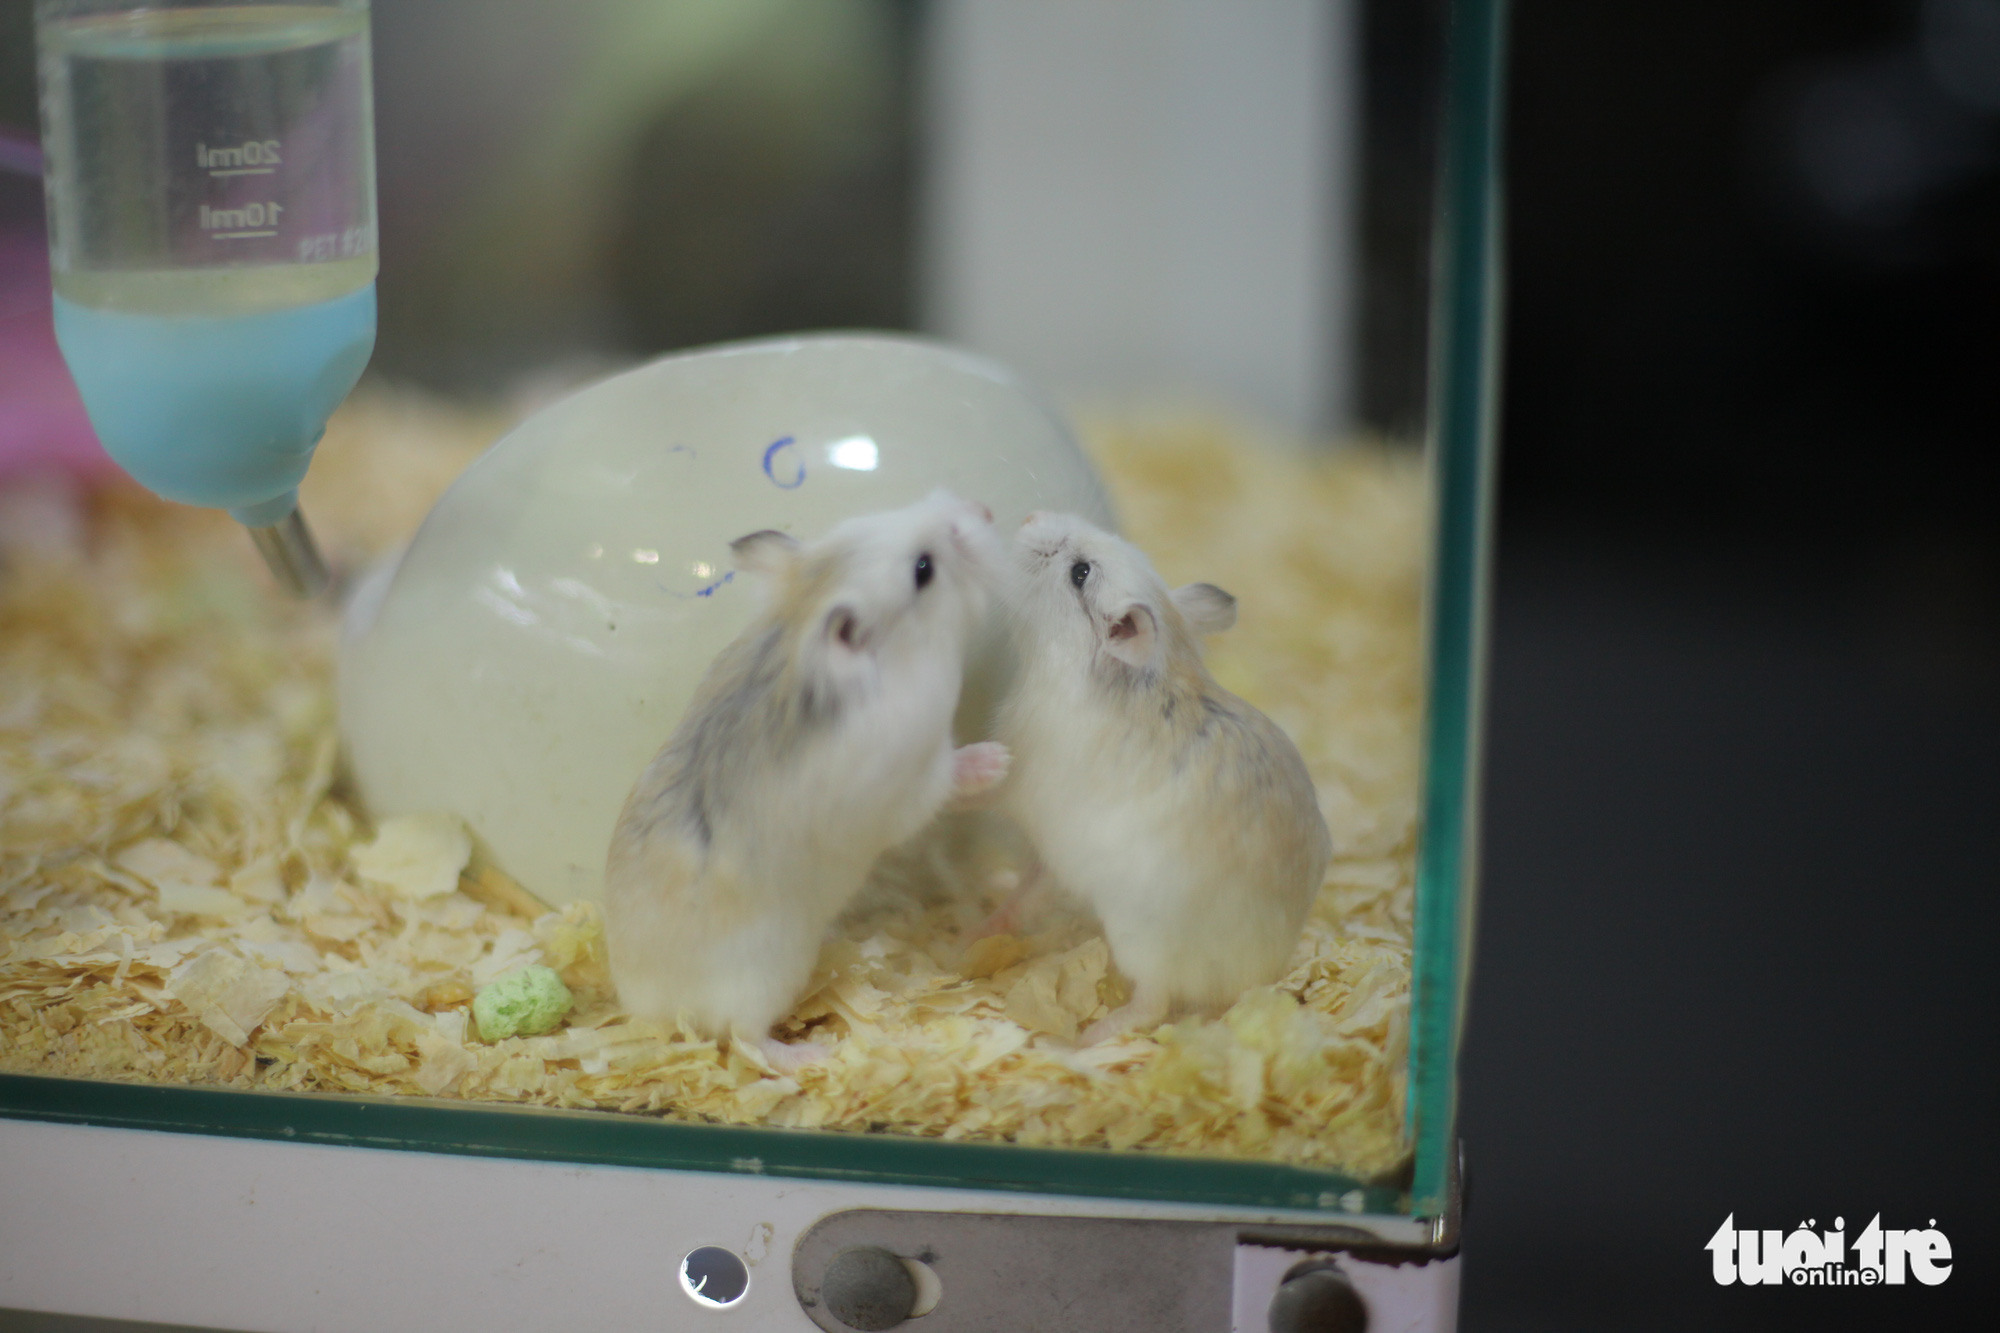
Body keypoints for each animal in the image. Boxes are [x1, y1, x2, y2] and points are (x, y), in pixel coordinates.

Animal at [605, 490, 1009, 1066]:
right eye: (923, 570)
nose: (984, 510)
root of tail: (649, 1006)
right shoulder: (906, 781)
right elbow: (947, 780)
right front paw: (999, 759)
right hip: (766, 975)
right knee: (745, 1038)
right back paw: (811, 1057)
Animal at [994, 512, 1332, 1043]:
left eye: (1080, 573)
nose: (1029, 517)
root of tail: (1255, 979)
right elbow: (1030, 881)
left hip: (1138, 936)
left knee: (1152, 1004)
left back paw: (1080, 1041)